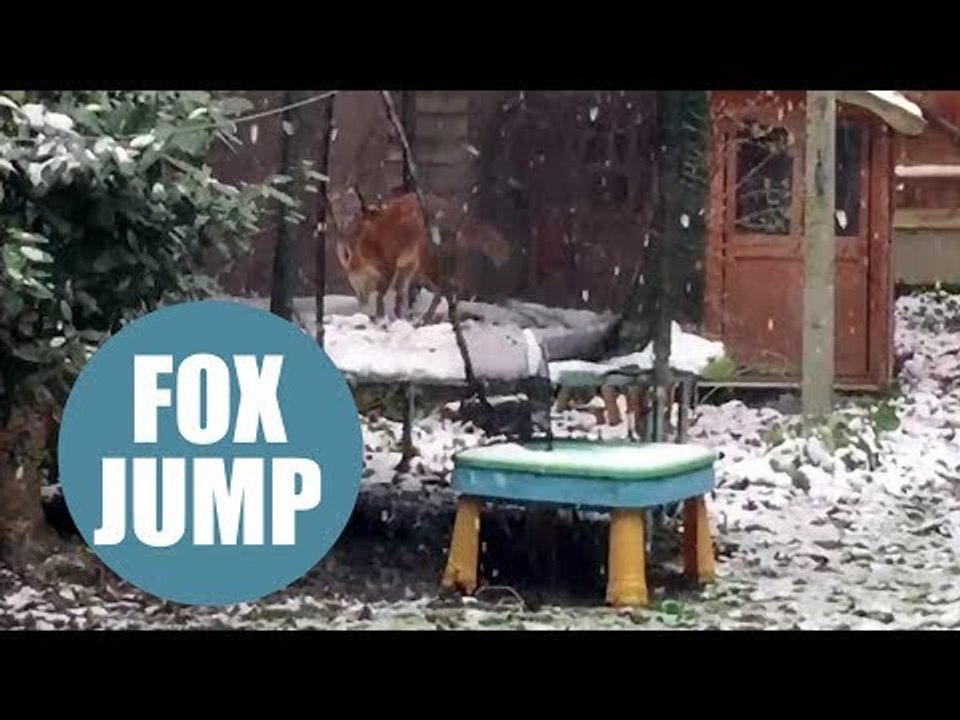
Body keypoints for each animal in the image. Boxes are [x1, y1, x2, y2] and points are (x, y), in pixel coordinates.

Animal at [335, 189, 512, 321]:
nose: (344, 244)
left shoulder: (390, 267)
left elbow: (381, 297)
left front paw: (380, 318)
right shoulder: (403, 268)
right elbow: (397, 298)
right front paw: (394, 317)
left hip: (429, 266)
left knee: (450, 289)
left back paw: (429, 319)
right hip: (425, 270)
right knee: (452, 289)